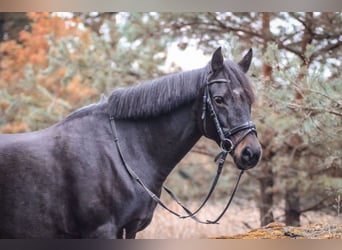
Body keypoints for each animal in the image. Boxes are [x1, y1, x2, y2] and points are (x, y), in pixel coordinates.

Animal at [0, 47, 262, 238]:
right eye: (218, 99)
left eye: (249, 100)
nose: (251, 153)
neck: (124, 151)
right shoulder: (101, 232)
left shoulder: (131, 229)